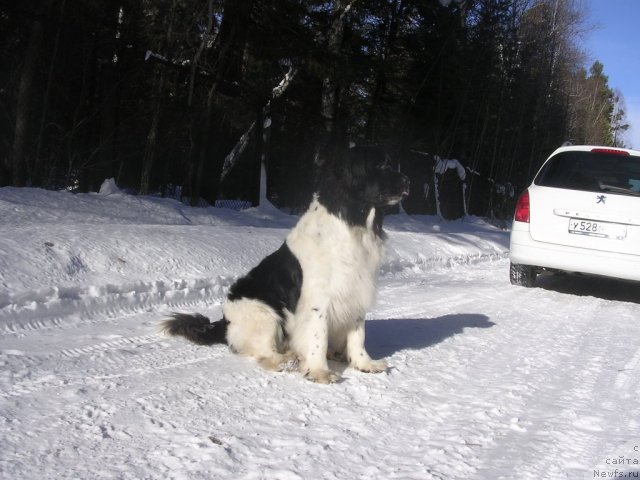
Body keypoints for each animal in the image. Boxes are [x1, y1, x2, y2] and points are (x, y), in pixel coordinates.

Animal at [161, 145, 410, 382]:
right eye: (380, 166)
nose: (407, 180)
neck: (353, 220)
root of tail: (223, 322)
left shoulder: (357, 290)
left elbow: (358, 334)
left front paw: (365, 363)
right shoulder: (318, 299)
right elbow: (318, 335)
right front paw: (319, 372)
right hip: (263, 311)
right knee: (266, 352)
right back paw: (289, 359)